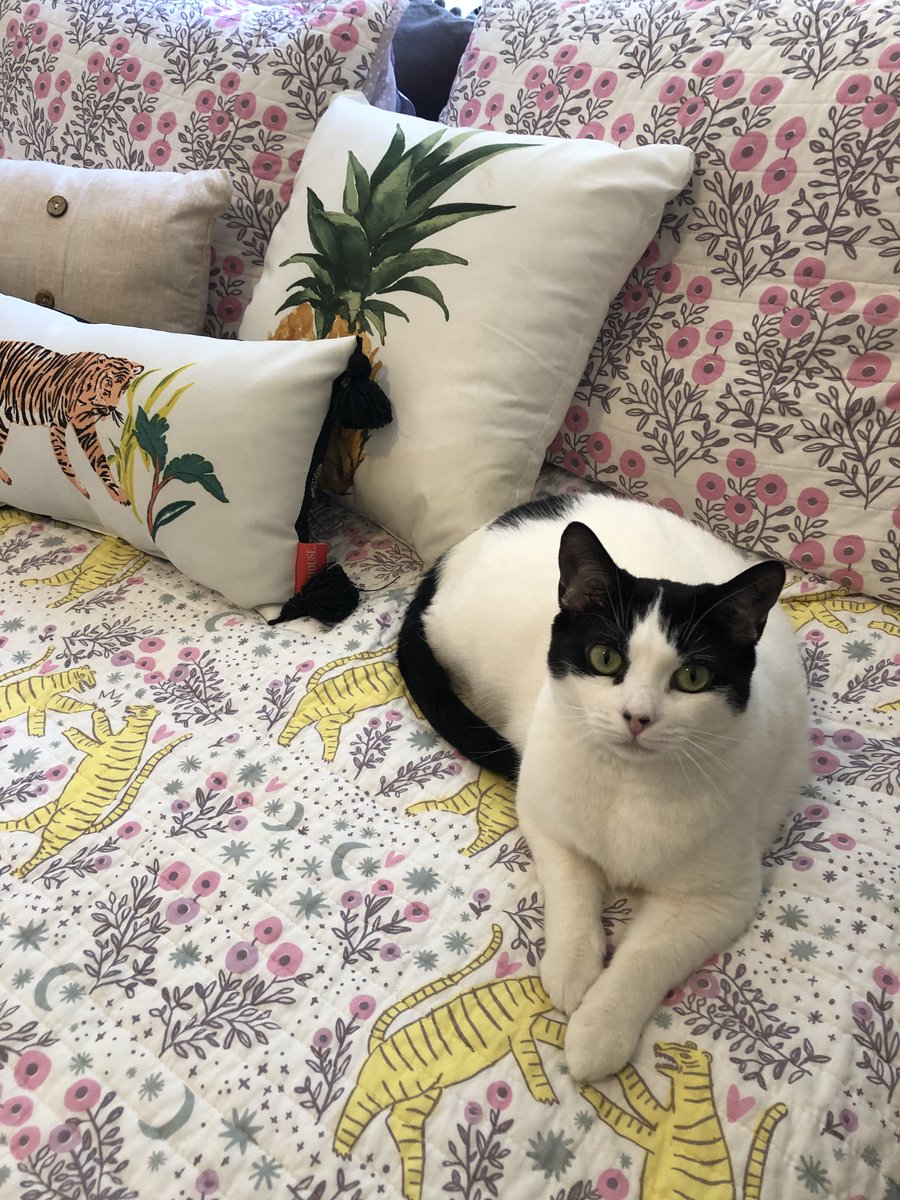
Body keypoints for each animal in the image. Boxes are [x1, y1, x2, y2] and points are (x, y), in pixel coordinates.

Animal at [0, 339, 143, 504]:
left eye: (125, 386)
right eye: (108, 382)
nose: (111, 407)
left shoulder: (85, 426)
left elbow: (99, 460)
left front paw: (117, 492)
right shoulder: (58, 423)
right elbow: (64, 461)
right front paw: (83, 491)